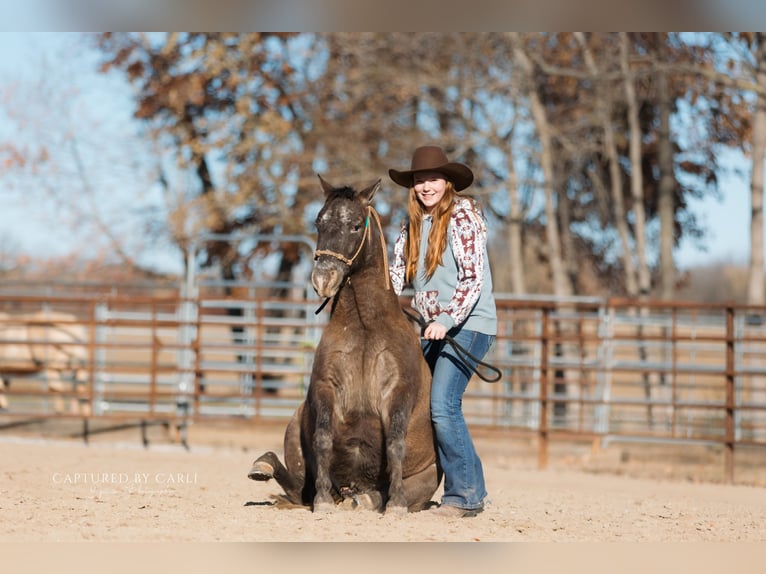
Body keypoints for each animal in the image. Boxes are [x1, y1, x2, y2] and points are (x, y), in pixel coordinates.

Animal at [248, 175, 440, 514]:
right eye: (319, 222)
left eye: (355, 226)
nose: (324, 279)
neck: (364, 327)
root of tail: (351, 487)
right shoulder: (326, 386)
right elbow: (323, 438)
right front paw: (323, 500)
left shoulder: (399, 391)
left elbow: (395, 444)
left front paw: (397, 504)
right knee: (296, 487)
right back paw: (265, 467)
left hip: (425, 479)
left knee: (374, 494)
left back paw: (368, 498)